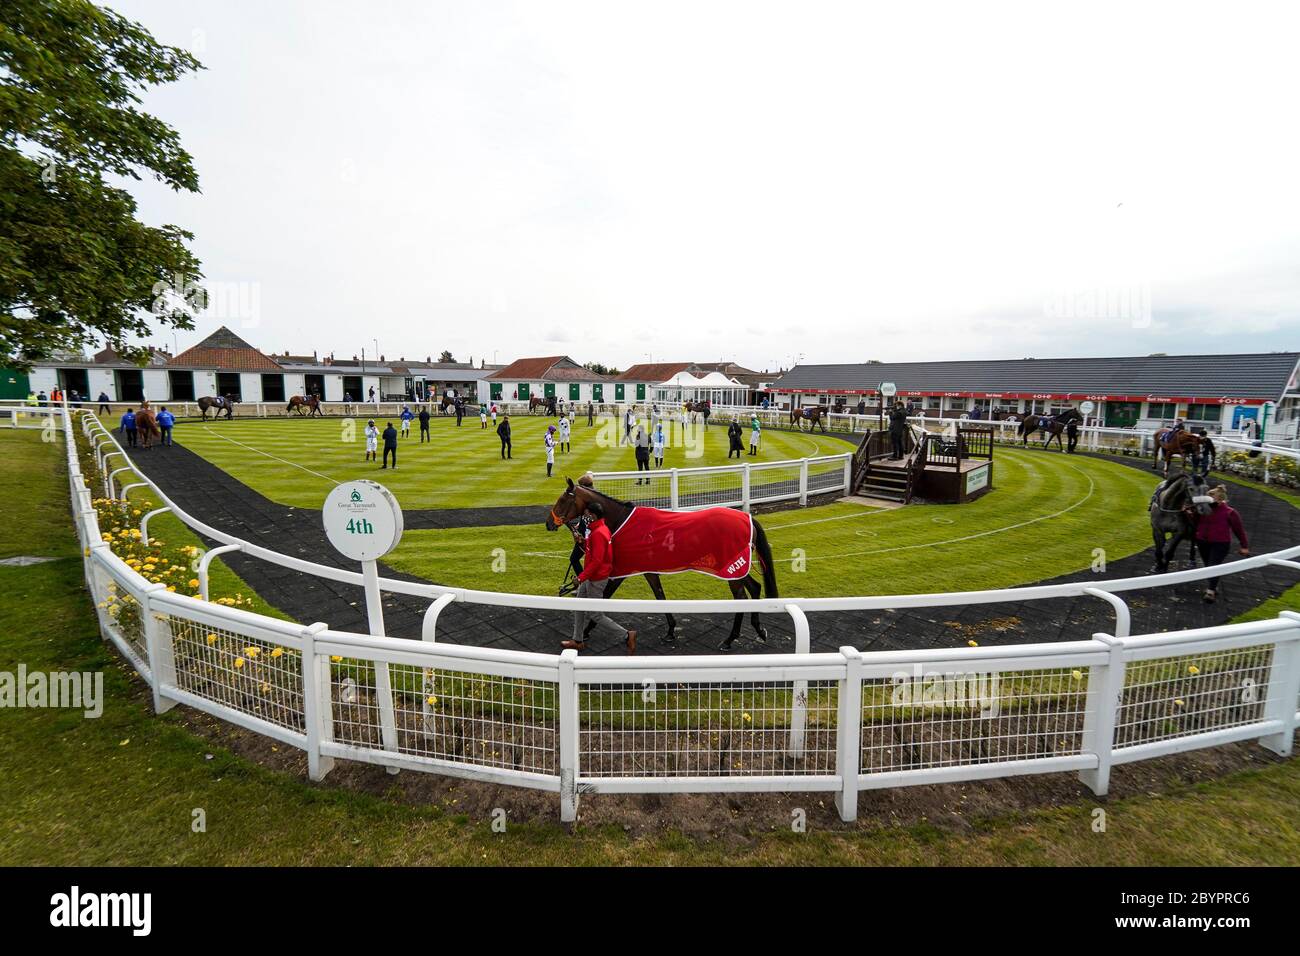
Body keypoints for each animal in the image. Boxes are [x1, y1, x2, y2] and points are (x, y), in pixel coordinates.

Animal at [543, 478, 774, 650]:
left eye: (562, 500)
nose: (548, 523)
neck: (621, 520)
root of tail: (748, 517)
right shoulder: (648, 570)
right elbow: (660, 595)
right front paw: (671, 631)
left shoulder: (622, 570)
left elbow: (605, 597)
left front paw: (585, 631)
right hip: (736, 569)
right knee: (755, 588)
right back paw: (759, 630)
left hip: (731, 568)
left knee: (741, 597)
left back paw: (730, 639)